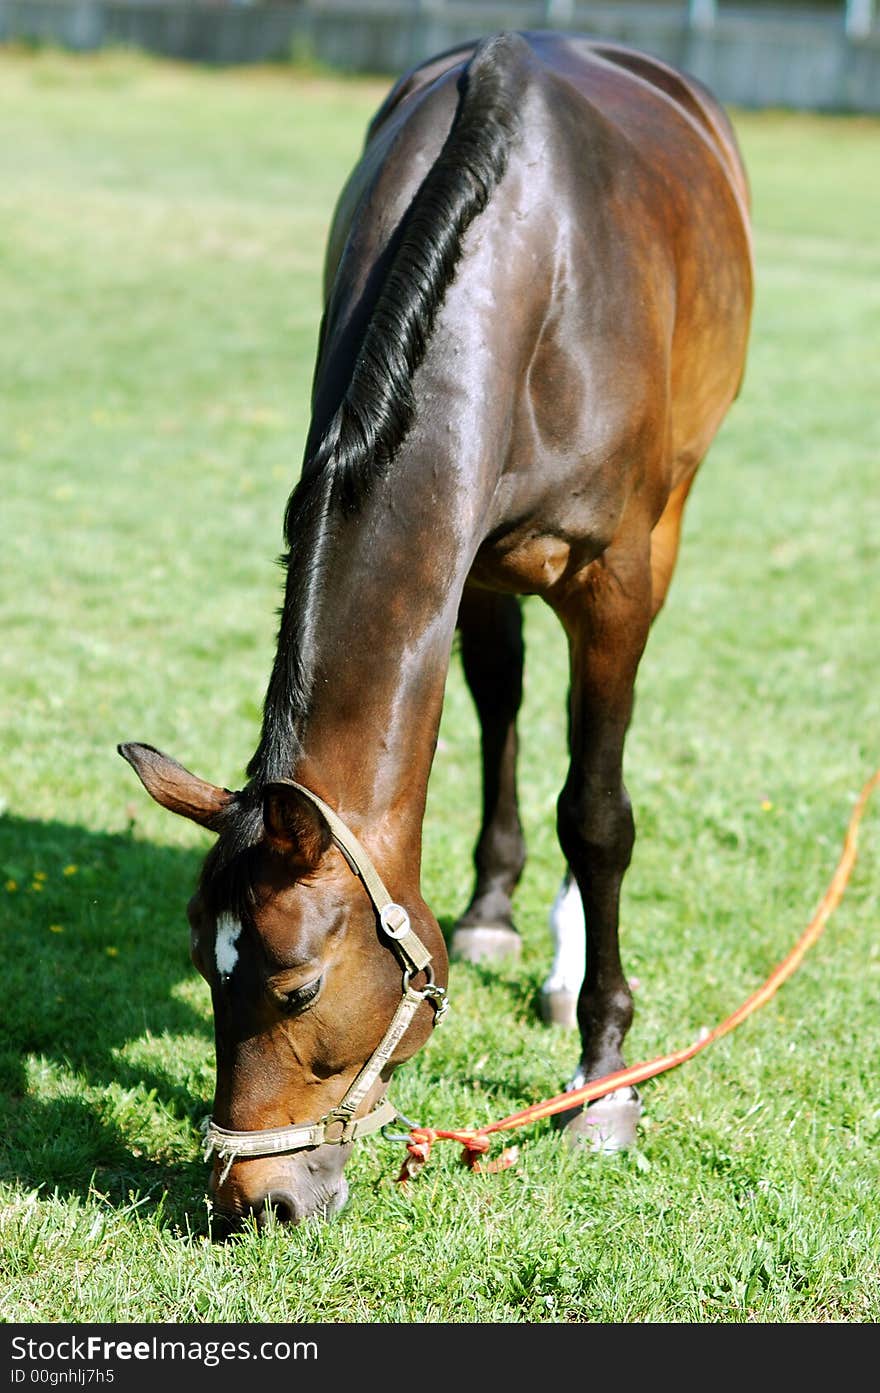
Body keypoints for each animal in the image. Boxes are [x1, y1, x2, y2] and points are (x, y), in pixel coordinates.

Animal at [118, 29, 751, 1231]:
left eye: (297, 987)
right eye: (203, 969)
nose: (252, 1200)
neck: (537, 262)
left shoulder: (615, 577)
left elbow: (598, 812)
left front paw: (605, 1079)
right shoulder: (460, 557)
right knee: (503, 694)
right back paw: (499, 908)